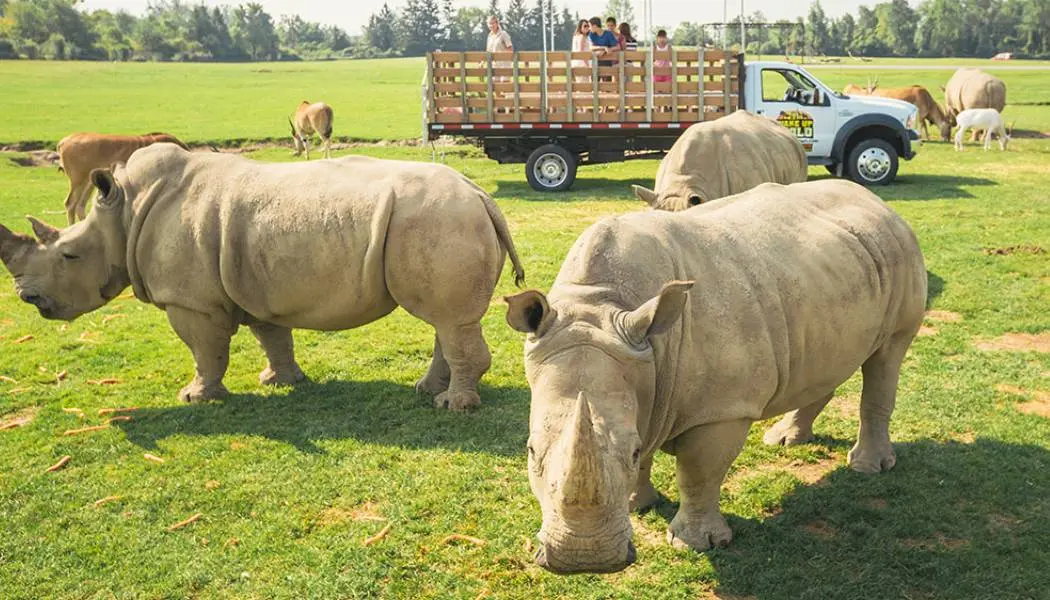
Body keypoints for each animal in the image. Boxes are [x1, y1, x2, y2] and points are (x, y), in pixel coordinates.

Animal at [0, 144, 524, 410]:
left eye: (68, 255)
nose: (28, 298)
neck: (123, 215)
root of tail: (482, 196)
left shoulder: (190, 301)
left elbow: (204, 350)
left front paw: (195, 398)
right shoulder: (255, 282)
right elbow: (273, 335)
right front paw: (280, 381)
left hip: (440, 220)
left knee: (449, 320)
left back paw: (452, 407)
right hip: (442, 220)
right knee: (446, 319)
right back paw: (428, 391)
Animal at [504, 179, 926, 574]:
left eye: (632, 449)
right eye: (530, 450)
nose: (584, 560)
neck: (600, 302)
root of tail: (878, 203)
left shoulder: (722, 408)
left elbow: (698, 471)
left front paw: (696, 543)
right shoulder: (641, 377)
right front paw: (637, 505)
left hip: (901, 252)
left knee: (887, 355)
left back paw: (867, 466)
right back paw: (784, 440)